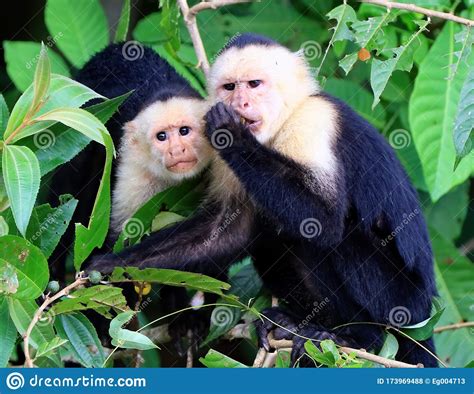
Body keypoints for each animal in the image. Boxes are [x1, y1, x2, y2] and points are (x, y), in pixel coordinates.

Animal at [88, 33, 436, 366]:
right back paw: (292, 323)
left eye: (254, 84)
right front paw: (107, 266)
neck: (280, 127)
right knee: (269, 234)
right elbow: (227, 231)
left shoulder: (312, 122)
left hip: (402, 302)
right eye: (229, 87)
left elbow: (322, 221)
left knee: (332, 239)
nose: (240, 102)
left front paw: (231, 130)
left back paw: (356, 337)